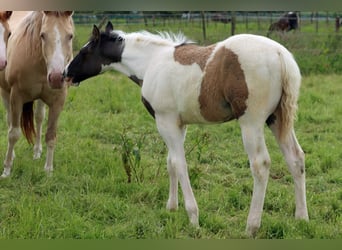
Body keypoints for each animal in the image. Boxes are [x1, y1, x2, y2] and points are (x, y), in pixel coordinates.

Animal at [0, 11, 74, 178]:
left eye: (70, 36)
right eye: (43, 35)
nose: (56, 78)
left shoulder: (58, 101)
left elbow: (51, 135)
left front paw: (48, 170)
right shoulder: (16, 97)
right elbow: (13, 134)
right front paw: (6, 170)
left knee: (39, 118)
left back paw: (37, 151)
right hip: (5, 94)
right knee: (9, 120)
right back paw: (12, 155)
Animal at [62, 22, 308, 236]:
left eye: (85, 50)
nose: (65, 73)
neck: (151, 62)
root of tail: (280, 55)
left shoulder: (166, 121)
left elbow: (180, 164)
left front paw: (193, 218)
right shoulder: (178, 125)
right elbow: (171, 162)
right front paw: (172, 207)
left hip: (251, 122)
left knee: (260, 164)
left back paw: (251, 227)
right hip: (277, 120)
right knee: (296, 158)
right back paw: (302, 218)